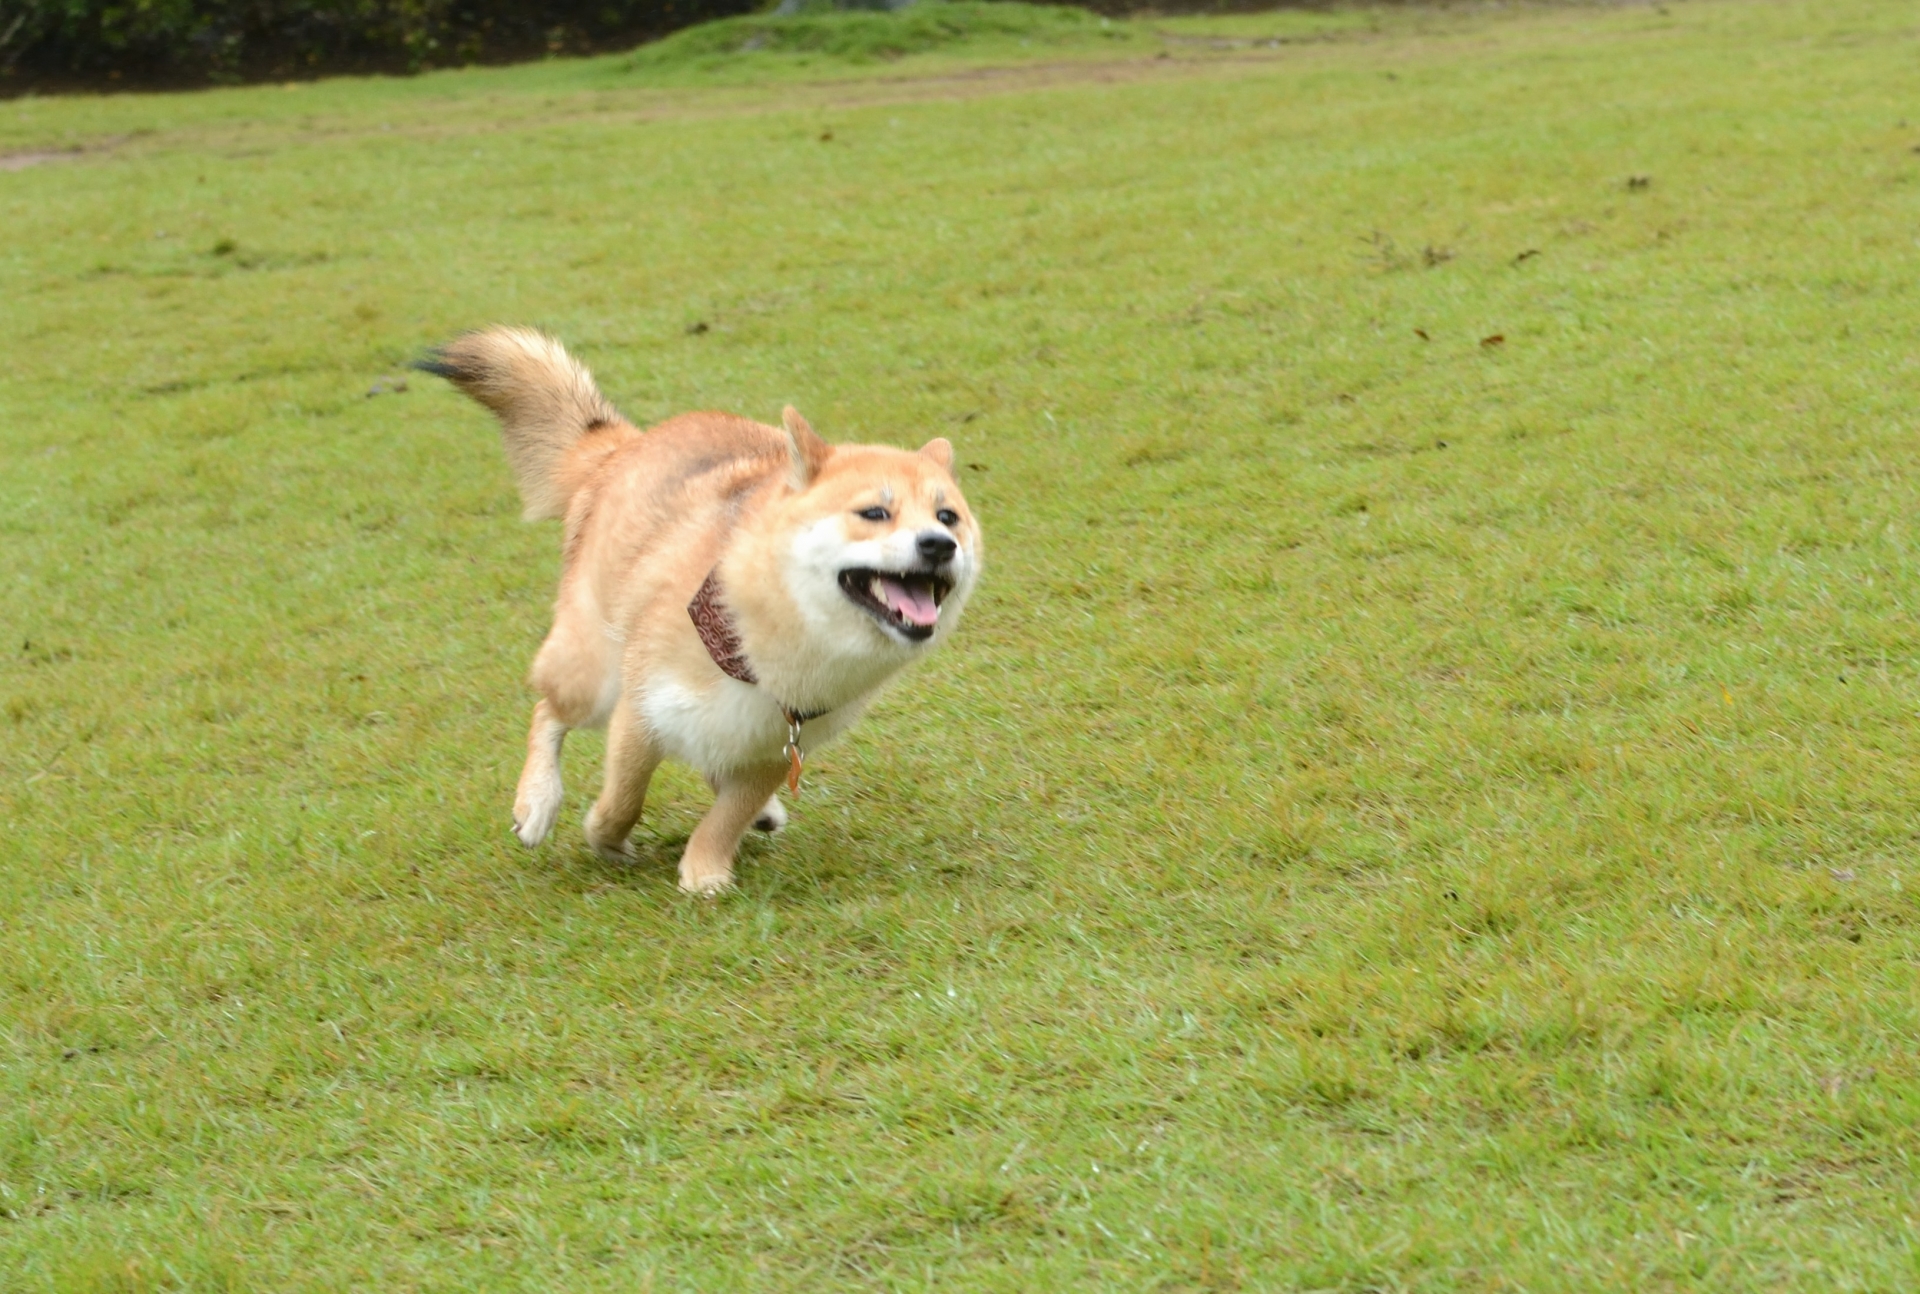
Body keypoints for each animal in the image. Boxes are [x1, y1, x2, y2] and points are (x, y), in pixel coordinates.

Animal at [426, 324, 983, 886]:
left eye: (947, 517)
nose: (939, 545)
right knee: (548, 711)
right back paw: (538, 801)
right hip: (592, 676)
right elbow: (623, 800)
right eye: (874, 513)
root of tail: (627, 444)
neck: (765, 633)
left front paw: (705, 872)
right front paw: (607, 839)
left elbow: (728, 815)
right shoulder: (641, 712)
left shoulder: (778, 745)